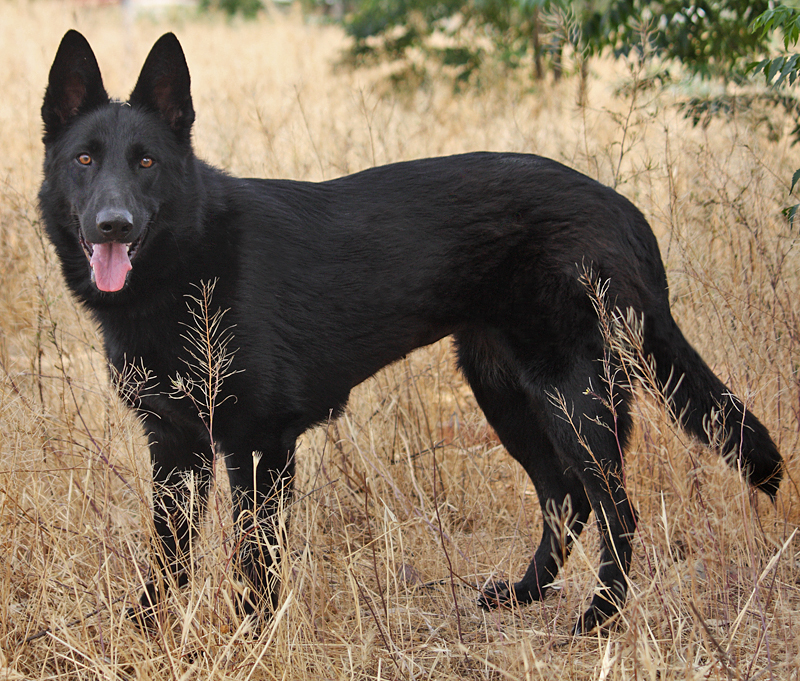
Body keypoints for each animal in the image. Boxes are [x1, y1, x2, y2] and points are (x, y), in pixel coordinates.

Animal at [39, 29, 780, 628]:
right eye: (84, 160)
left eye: (146, 162)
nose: (112, 225)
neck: (186, 258)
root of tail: (622, 207)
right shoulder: (175, 446)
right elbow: (169, 555)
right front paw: (147, 627)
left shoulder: (257, 445)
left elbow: (255, 557)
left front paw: (251, 634)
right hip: (506, 393)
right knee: (565, 499)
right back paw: (524, 594)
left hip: (572, 397)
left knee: (615, 508)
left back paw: (599, 618)